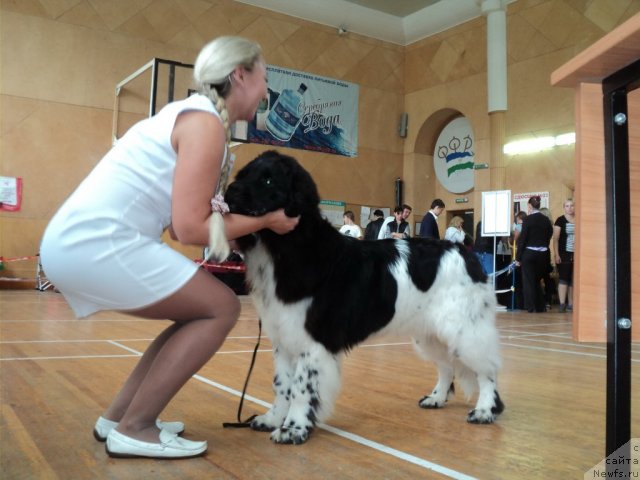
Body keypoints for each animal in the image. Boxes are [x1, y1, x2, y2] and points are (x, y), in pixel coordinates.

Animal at [225, 151, 504, 446]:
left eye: (268, 180)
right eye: (242, 175)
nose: (230, 192)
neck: (288, 247)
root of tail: (466, 254)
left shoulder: (313, 341)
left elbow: (301, 388)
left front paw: (294, 428)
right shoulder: (283, 338)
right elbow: (282, 385)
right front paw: (272, 419)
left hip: (465, 330)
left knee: (487, 370)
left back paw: (485, 410)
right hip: (430, 333)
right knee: (447, 366)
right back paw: (436, 398)